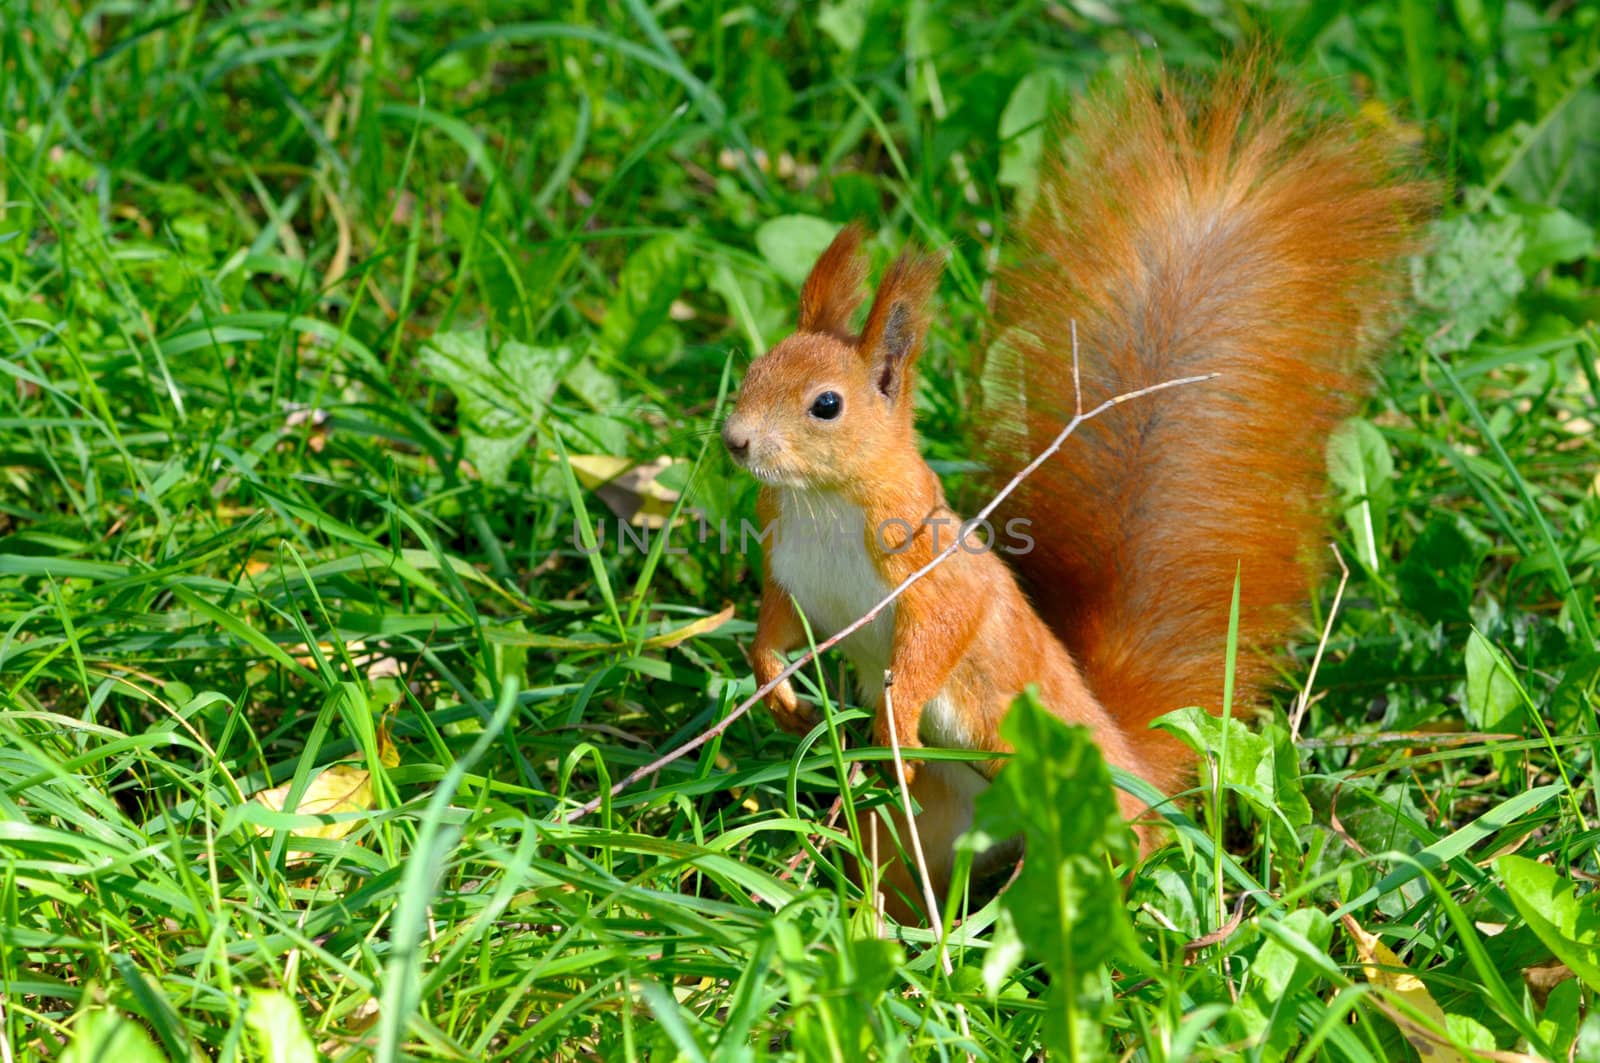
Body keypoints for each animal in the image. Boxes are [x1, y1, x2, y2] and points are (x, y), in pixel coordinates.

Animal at [720, 52, 1433, 915]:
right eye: (753, 370)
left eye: (827, 405)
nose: (735, 441)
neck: (820, 503)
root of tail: (1131, 762)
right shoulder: (790, 562)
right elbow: (774, 623)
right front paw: (777, 689)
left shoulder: (929, 565)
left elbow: (942, 632)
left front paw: (895, 717)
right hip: (937, 819)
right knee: (904, 859)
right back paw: (880, 915)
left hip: (1088, 806)